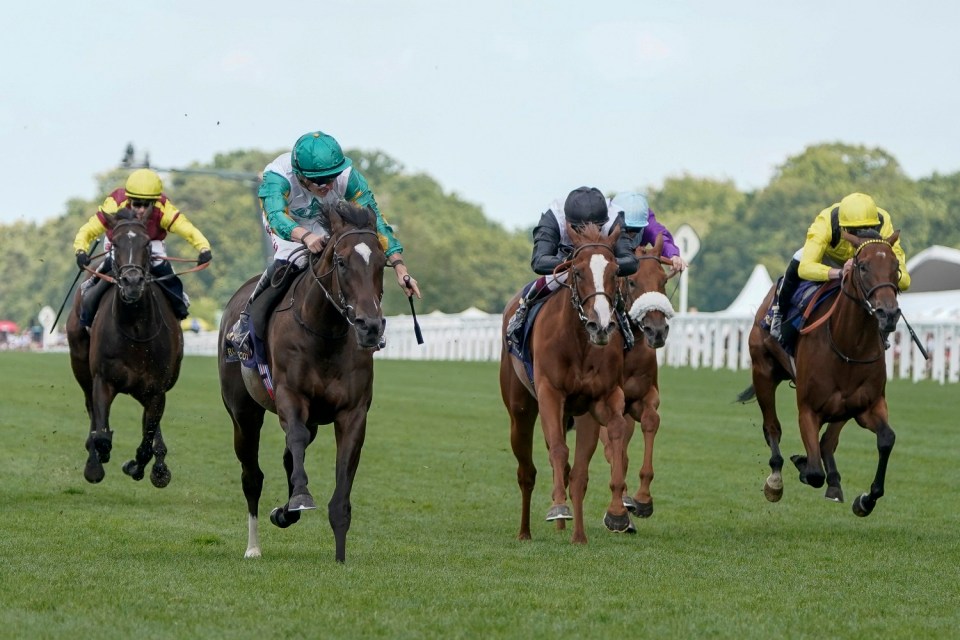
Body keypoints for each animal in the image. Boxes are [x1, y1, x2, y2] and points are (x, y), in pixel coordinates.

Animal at [65, 210, 184, 484]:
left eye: (147, 244)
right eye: (116, 244)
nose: (132, 281)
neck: (135, 328)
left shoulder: (156, 389)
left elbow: (146, 442)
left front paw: (140, 466)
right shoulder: (103, 379)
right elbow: (101, 433)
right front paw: (95, 463)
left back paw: (159, 464)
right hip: (80, 363)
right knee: (90, 406)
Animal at [218, 202, 386, 564]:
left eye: (382, 262)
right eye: (341, 261)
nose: (370, 326)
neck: (324, 332)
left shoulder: (353, 412)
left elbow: (341, 477)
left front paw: (340, 556)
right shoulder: (290, 396)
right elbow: (293, 438)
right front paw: (300, 498)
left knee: (288, 457)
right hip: (243, 413)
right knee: (252, 475)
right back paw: (253, 546)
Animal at [502, 222, 632, 544]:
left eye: (615, 271)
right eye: (578, 271)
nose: (601, 326)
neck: (579, 343)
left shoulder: (602, 398)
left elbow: (616, 432)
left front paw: (617, 512)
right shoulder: (550, 392)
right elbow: (559, 451)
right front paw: (558, 507)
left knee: (578, 474)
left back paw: (577, 536)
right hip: (520, 410)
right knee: (528, 471)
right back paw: (525, 532)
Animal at [740, 230, 904, 516]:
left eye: (896, 267)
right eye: (863, 266)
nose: (889, 313)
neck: (849, 345)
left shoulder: (867, 405)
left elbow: (886, 439)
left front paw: (866, 499)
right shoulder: (808, 409)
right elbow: (814, 471)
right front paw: (801, 464)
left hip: (843, 406)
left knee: (828, 440)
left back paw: (834, 482)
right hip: (763, 372)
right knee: (772, 427)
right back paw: (776, 478)